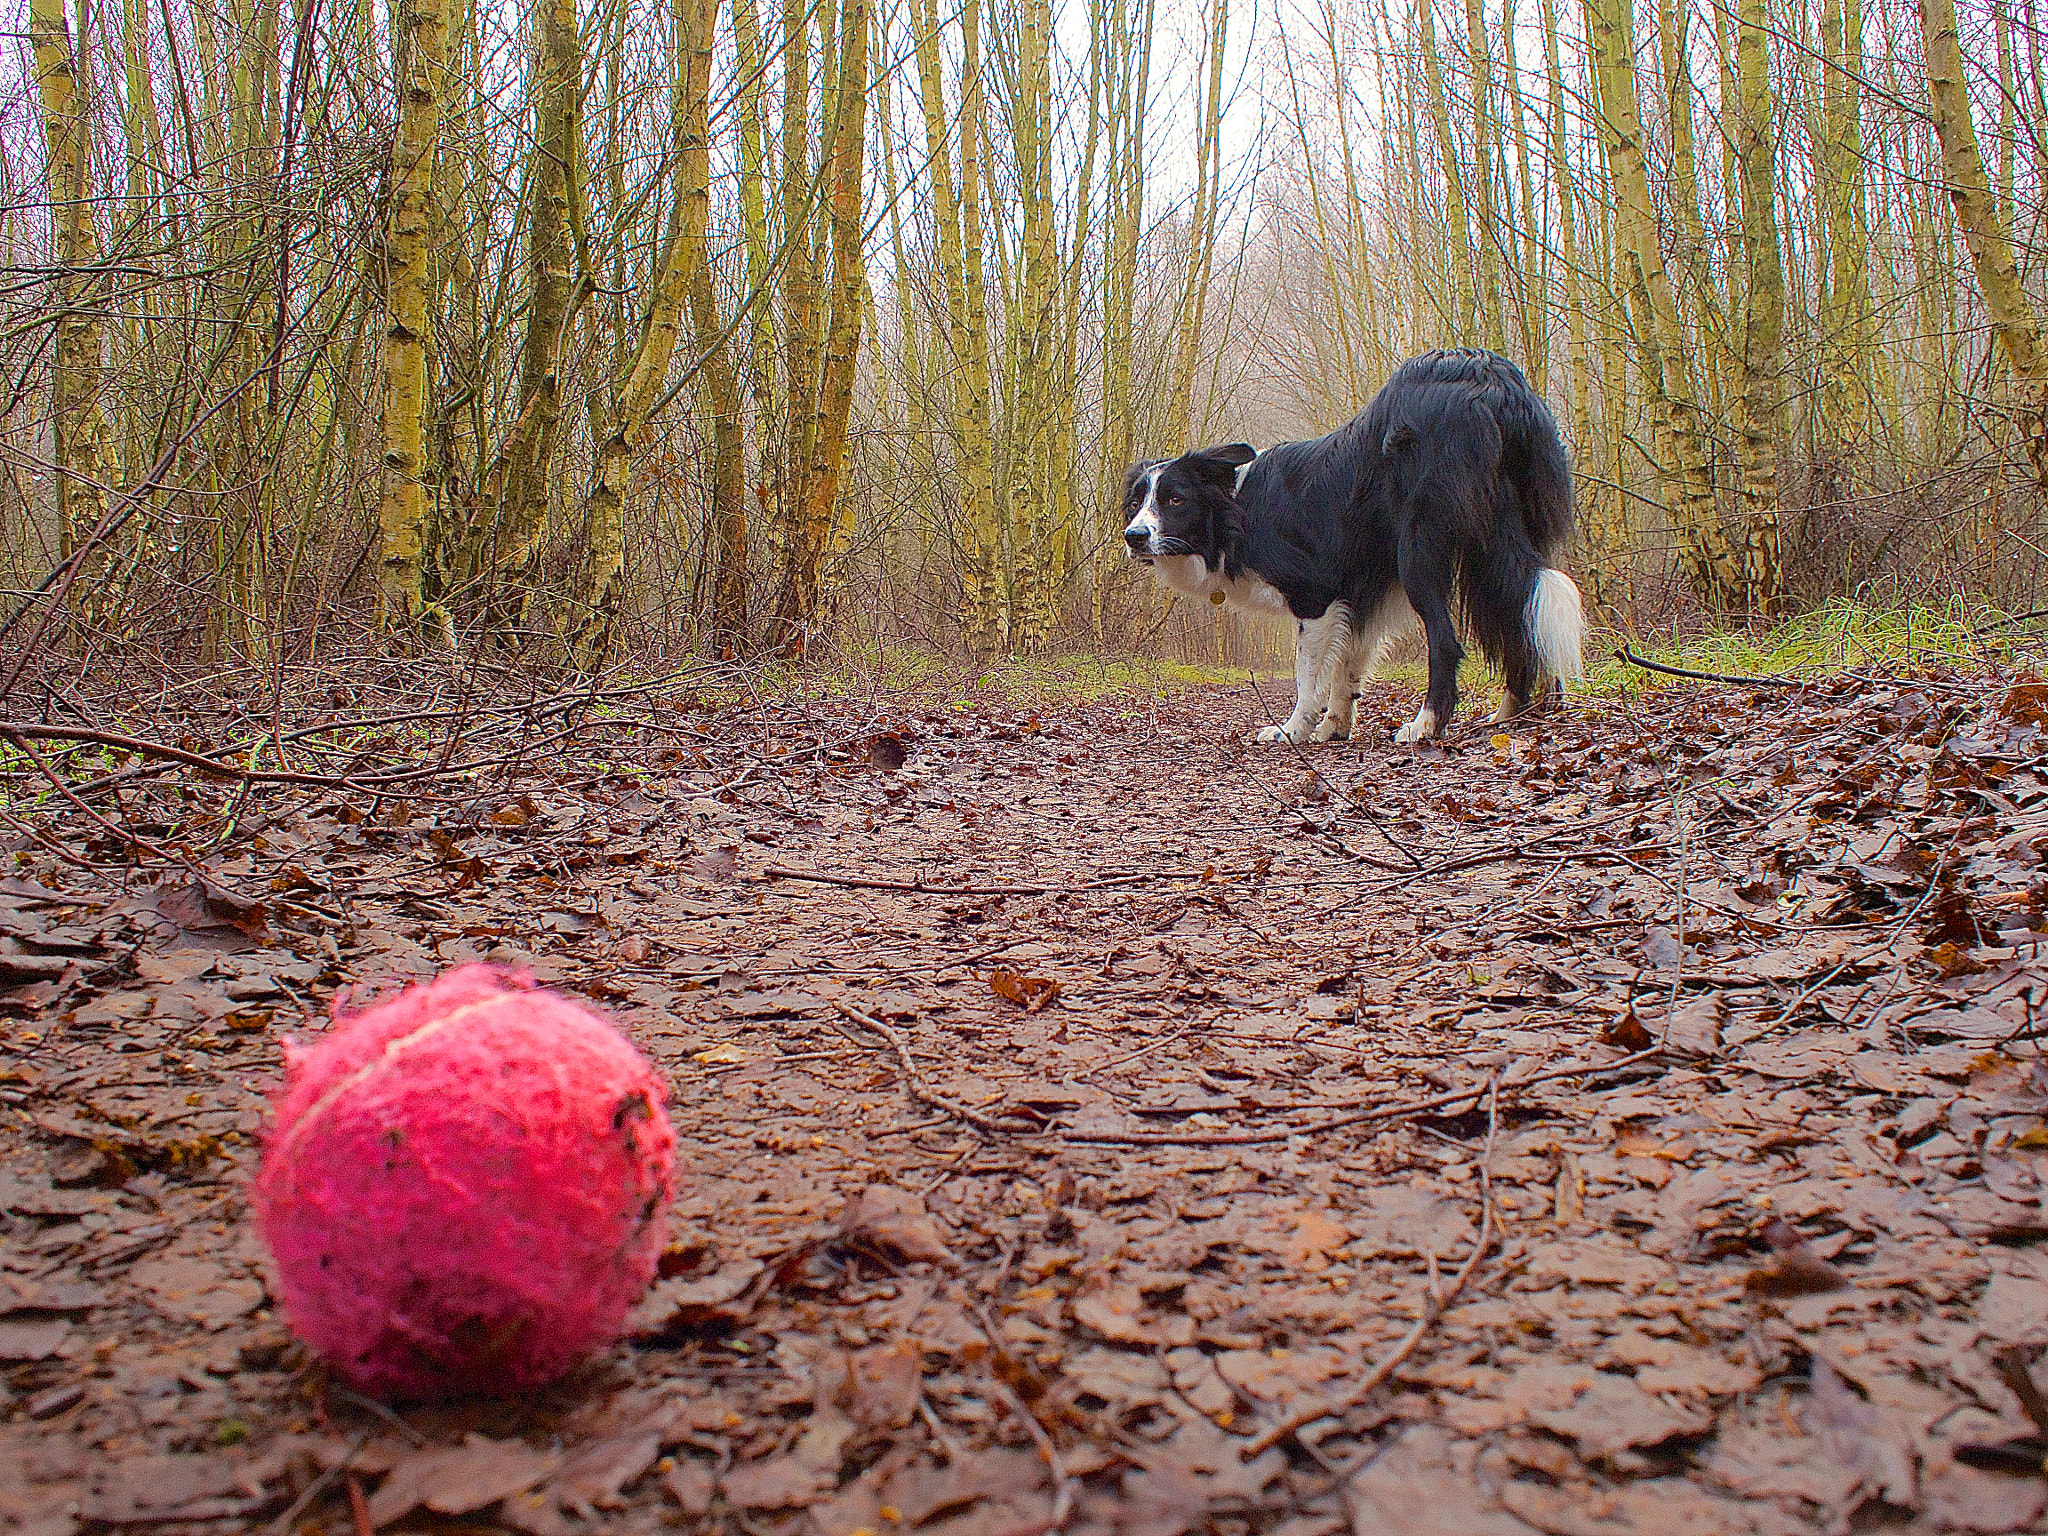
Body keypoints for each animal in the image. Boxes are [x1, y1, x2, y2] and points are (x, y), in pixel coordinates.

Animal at [1122, 348, 1581, 745]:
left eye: (1175, 500)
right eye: (1135, 504)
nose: (1134, 536)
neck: (1237, 510)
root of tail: (1489, 375)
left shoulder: (1315, 596)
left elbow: (1308, 674)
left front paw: (1294, 730)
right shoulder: (1361, 593)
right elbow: (1348, 665)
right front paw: (1334, 726)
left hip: (1420, 551)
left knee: (1447, 641)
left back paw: (1425, 725)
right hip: (1493, 542)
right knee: (1519, 613)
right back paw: (1508, 715)